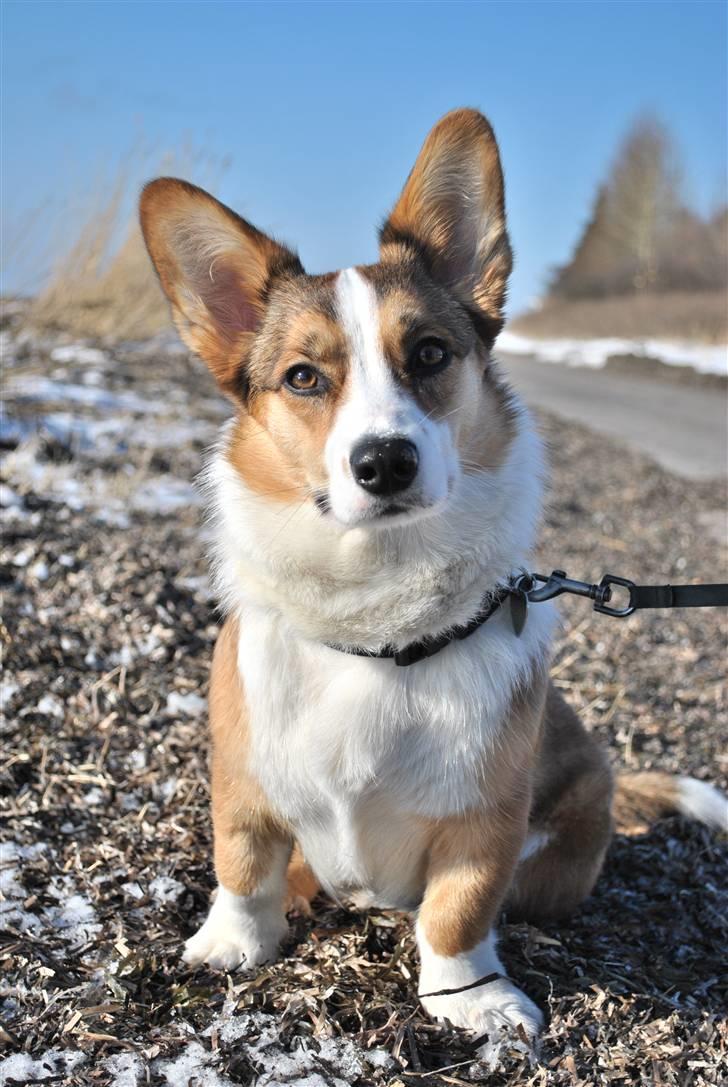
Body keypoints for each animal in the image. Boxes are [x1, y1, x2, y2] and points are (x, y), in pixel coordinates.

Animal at [140, 108, 725, 1060]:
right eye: (303, 376)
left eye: (429, 353)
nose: (384, 461)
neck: (376, 626)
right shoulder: (243, 778)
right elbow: (243, 862)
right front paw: (231, 940)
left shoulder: (485, 818)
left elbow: (457, 911)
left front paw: (471, 998)